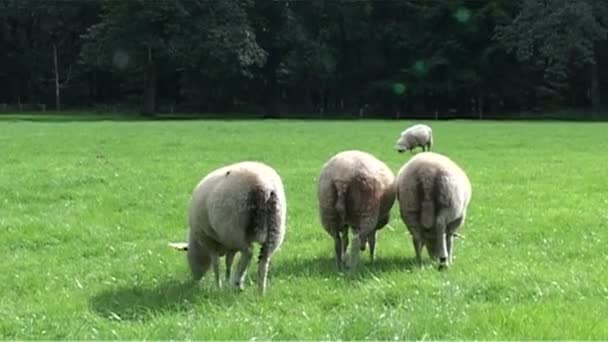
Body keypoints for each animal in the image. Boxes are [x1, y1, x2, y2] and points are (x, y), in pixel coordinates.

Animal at [179, 161, 286, 294]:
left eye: (187, 256)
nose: (195, 279)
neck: (198, 244)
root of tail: (264, 185)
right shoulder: (231, 246)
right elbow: (228, 262)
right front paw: (226, 281)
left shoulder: (210, 241)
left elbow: (216, 264)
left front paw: (219, 285)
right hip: (275, 226)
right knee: (264, 260)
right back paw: (261, 291)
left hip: (234, 229)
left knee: (248, 252)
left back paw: (238, 281)